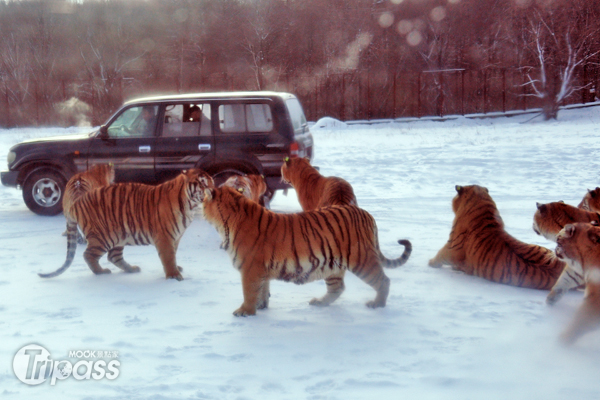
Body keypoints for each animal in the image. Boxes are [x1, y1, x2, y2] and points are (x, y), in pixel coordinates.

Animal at [38, 170, 213, 280]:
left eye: (211, 181)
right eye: (202, 183)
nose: (213, 191)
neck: (189, 206)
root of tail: (75, 204)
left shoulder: (175, 237)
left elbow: (173, 255)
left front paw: (177, 269)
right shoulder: (165, 237)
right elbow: (168, 257)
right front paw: (174, 276)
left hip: (119, 236)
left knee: (113, 257)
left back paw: (132, 269)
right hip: (103, 237)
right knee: (89, 255)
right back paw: (101, 272)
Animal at [202, 186, 412, 318]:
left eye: (204, 201)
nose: (200, 207)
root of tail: (367, 214)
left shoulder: (250, 269)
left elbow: (249, 292)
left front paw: (245, 311)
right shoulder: (261, 271)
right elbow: (263, 290)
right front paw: (260, 307)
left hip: (362, 260)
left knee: (383, 281)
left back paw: (377, 304)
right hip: (333, 265)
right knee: (338, 288)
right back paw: (320, 302)